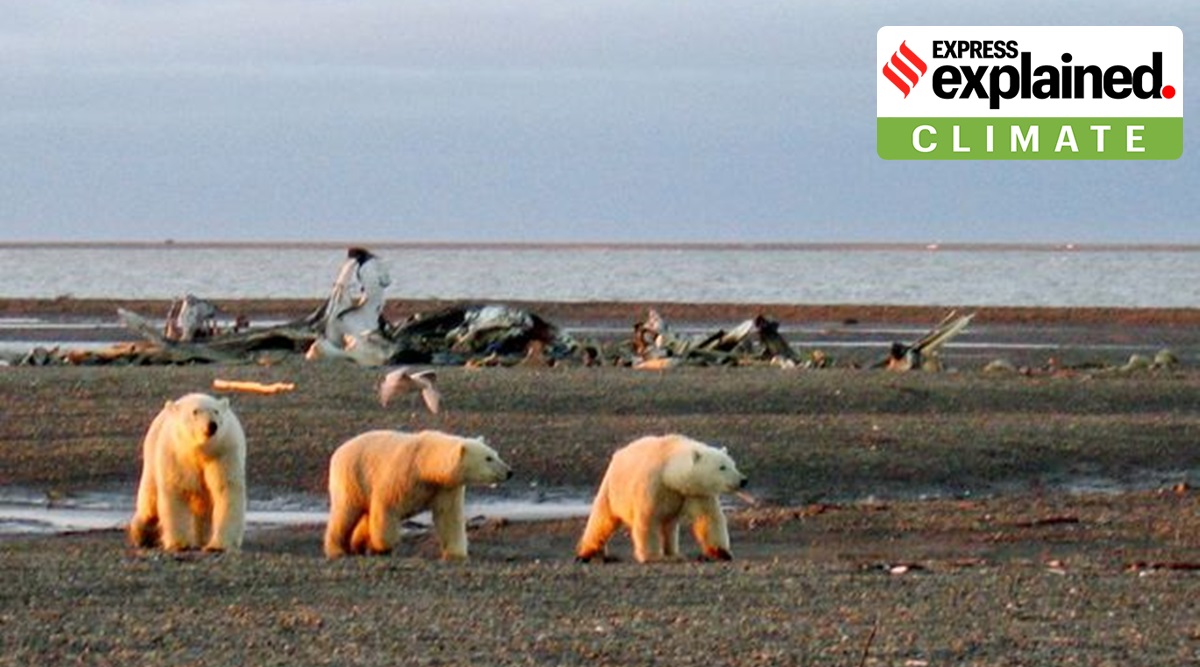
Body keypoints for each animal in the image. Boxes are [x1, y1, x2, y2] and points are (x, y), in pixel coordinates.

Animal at [128, 393, 247, 552]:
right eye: (195, 412)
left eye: (216, 411)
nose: (212, 425)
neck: (199, 450)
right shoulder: (176, 455)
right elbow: (176, 491)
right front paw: (180, 543)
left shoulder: (223, 453)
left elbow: (226, 489)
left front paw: (218, 545)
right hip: (152, 458)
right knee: (149, 503)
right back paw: (140, 534)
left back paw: (202, 538)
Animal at [324, 429, 513, 560]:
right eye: (488, 458)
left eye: (495, 454)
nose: (509, 472)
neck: (424, 464)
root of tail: (338, 451)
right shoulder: (400, 476)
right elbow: (386, 508)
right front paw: (383, 546)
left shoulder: (444, 488)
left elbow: (449, 517)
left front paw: (455, 554)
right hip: (352, 477)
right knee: (345, 513)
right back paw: (337, 550)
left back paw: (358, 545)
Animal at [576, 434, 748, 563]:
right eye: (722, 467)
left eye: (733, 464)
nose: (743, 480)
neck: (669, 471)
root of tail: (619, 453)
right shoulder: (653, 485)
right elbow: (647, 519)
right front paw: (653, 557)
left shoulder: (695, 492)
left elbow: (708, 518)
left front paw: (722, 553)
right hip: (612, 488)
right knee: (602, 519)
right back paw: (587, 553)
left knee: (669, 527)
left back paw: (674, 553)